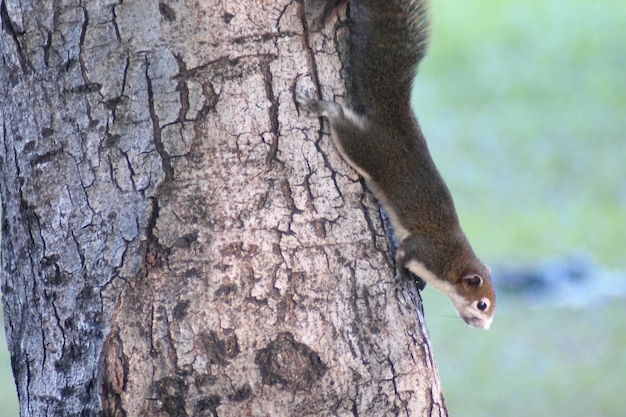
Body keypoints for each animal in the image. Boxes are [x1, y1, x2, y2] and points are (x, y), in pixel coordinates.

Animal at [294, 0, 494, 328]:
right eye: (482, 304)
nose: (484, 327)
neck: (454, 261)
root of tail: (397, 123)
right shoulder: (425, 251)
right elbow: (403, 254)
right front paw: (402, 276)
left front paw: (417, 281)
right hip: (369, 150)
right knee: (343, 125)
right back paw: (324, 108)